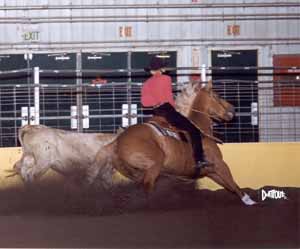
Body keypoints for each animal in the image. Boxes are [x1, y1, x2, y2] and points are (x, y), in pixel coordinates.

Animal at [89, 80, 255, 205]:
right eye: (217, 95)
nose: (232, 110)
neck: (199, 128)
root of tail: (117, 141)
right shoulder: (220, 164)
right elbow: (233, 183)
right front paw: (249, 201)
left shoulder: (211, 171)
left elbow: (229, 186)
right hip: (154, 166)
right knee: (147, 188)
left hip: (135, 172)